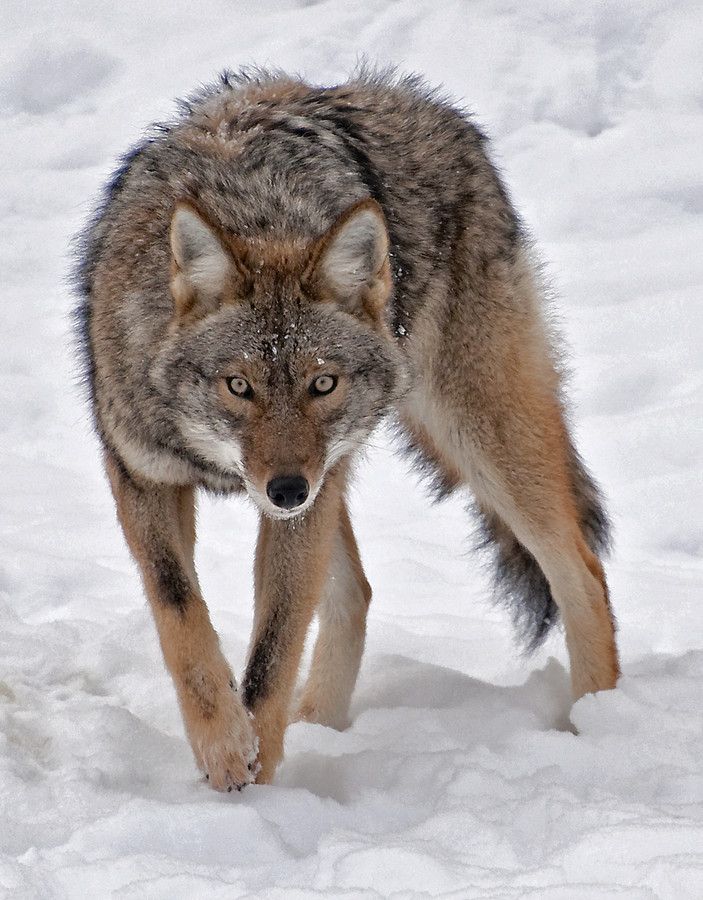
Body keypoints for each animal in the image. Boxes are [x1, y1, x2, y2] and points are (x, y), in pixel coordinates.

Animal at [74, 68, 620, 788]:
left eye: (322, 384)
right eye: (239, 387)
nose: (284, 490)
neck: (259, 209)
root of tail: (429, 106)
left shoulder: (303, 503)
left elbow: (274, 648)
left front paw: (256, 775)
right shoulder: (141, 476)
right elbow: (180, 614)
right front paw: (225, 747)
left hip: (473, 439)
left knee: (581, 573)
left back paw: (598, 726)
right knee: (356, 591)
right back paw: (319, 725)